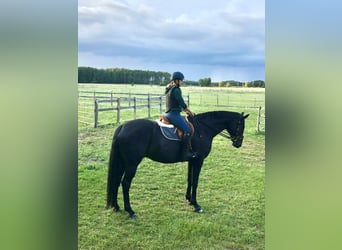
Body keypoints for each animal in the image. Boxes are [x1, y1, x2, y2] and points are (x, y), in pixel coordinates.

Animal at [107, 110, 248, 218]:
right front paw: (196, 205)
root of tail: (123, 127)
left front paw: (189, 199)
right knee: (125, 183)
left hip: (123, 163)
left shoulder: (192, 160)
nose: (238, 143)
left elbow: (189, 180)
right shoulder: (199, 160)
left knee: (116, 181)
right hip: (132, 164)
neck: (202, 129)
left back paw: (116, 206)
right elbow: (195, 181)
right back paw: (130, 211)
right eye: (241, 125)